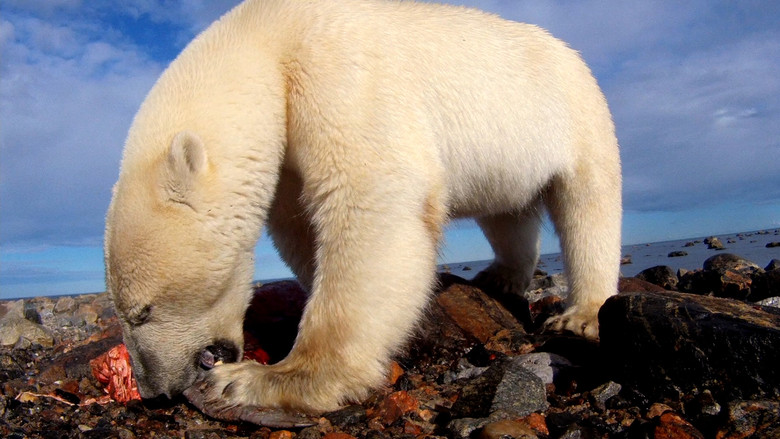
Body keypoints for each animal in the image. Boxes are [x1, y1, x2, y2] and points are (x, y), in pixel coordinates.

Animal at [105, 0, 621, 415]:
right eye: (125, 312)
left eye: (143, 311)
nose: (155, 391)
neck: (268, 35)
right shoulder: (289, 147)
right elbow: (300, 226)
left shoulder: (339, 72)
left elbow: (372, 202)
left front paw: (264, 381)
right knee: (507, 213)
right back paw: (501, 276)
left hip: (573, 111)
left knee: (588, 204)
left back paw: (581, 313)